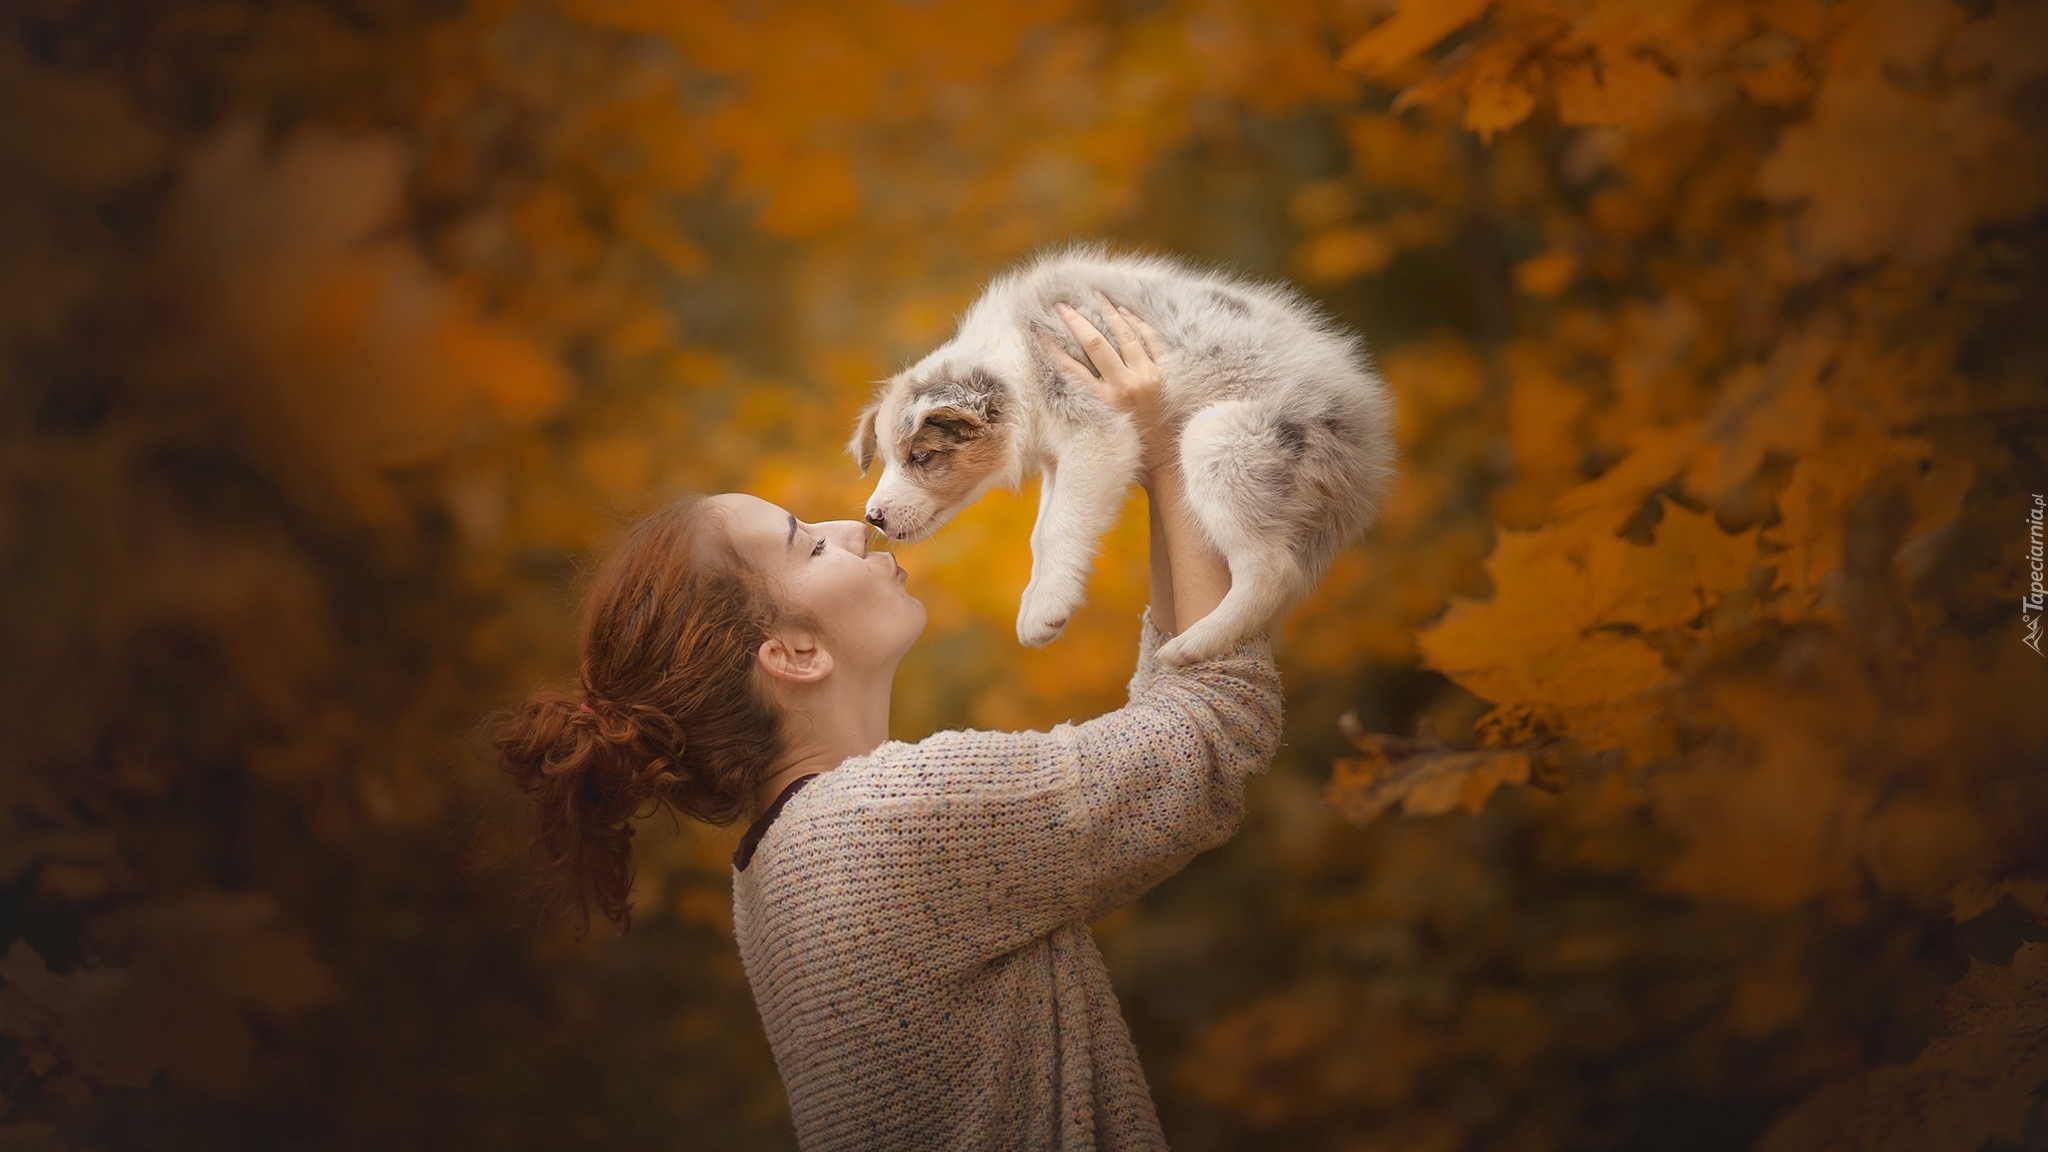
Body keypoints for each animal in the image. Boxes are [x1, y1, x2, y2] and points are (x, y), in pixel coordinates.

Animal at [843, 249, 1392, 664]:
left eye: (921, 457)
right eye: (888, 460)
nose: (872, 517)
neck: (1019, 362)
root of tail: (1368, 450)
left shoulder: (1098, 437)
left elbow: (1058, 527)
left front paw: (1046, 608)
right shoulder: (1060, 459)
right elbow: (1043, 530)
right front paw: (1038, 602)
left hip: (1220, 440)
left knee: (1272, 571)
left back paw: (1192, 646)